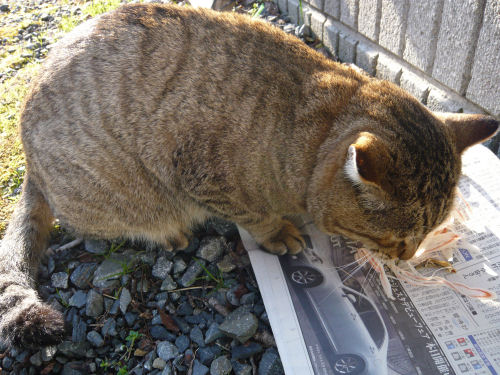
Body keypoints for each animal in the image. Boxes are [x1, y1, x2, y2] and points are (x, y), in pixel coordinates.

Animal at [0, 3, 500, 350]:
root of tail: (31, 166)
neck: (314, 135)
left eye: (428, 234)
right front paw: (278, 231)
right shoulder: (199, 173)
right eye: (397, 240)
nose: (409, 256)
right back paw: (168, 233)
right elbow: (253, 214)